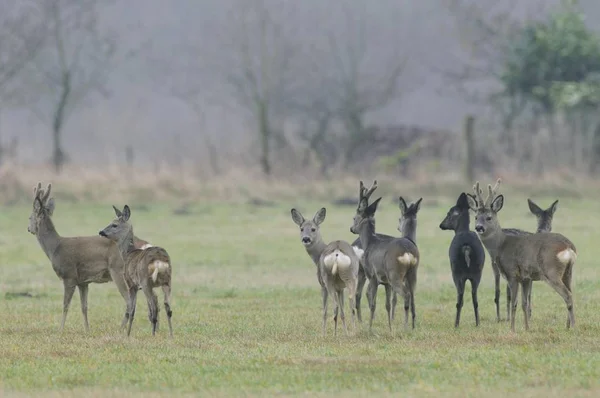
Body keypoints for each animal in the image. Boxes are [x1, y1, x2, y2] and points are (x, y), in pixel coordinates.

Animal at [98, 205, 173, 336]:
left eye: (114, 224)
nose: (101, 232)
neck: (128, 253)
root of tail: (159, 261)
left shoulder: (131, 284)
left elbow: (132, 310)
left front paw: (127, 334)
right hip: (167, 281)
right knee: (167, 307)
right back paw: (171, 334)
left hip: (146, 281)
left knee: (154, 307)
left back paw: (153, 334)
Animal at [290, 208, 360, 336]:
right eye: (301, 228)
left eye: (313, 229)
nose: (306, 239)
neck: (319, 254)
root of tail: (336, 252)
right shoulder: (340, 288)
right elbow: (343, 312)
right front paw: (346, 333)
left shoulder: (322, 285)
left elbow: (324, 311)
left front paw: (323, 333)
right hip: (350, 277)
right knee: (351, 303)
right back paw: (353, 332)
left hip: (328, 279)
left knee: (335, 306)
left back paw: (335, 334)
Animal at [438, 192, 486, 326]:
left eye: (449, 213)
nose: (441, 225)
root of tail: (466, 247)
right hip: (477, 272)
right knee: (475, 298)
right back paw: (478, 323)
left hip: (456, 272)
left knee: (459, 298)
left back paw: (456, 324)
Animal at [468, 179, 576, 332]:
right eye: (476, 217)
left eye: (489, 217)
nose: (478, 227)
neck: (501, 245)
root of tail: (568, 246)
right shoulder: (526, 278)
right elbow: (524, 303)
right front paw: (526, 328)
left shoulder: (512, 274)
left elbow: (515, 303)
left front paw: (512, 329)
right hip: (568, 272)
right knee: (571, 292)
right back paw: (568, 326)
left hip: (551, 271)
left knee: (568, 295)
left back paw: (573, 326)